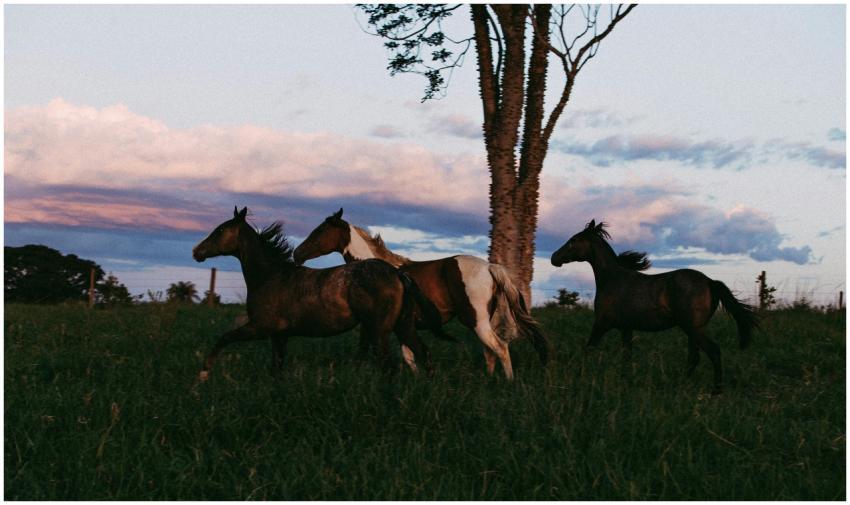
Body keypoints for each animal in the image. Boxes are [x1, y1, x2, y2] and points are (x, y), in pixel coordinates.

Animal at [192, 206, 440, 380]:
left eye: (220, 230)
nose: (196, 252)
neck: (270, 276)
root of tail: (397, 273)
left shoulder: (260, 327)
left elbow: (224, 338)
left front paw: (202, 377)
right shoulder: (279, 335)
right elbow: (276, 369)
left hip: (379, 331)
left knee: (390, 367)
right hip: (403, 326)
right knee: (425, 354)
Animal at [292, 208, 550, 380]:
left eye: (320, 231)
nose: (297, 253)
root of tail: (490, 267)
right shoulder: (405, 326)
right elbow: (409, 357)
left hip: (475, 320)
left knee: (500, 347)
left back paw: (508, 383)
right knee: (491, 351)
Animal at [550, 219, 757, 392]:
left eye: (573, 240)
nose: (554, 258)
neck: (612, 279)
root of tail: (710, 282)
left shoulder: (602, 324)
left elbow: (589, 348)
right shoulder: (626, 328)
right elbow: (627, 356)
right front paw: (626, 381)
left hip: (694, 328)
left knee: (713, 351)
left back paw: (716, 390)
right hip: (692, 329)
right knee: (694, 357)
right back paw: (681, 384)